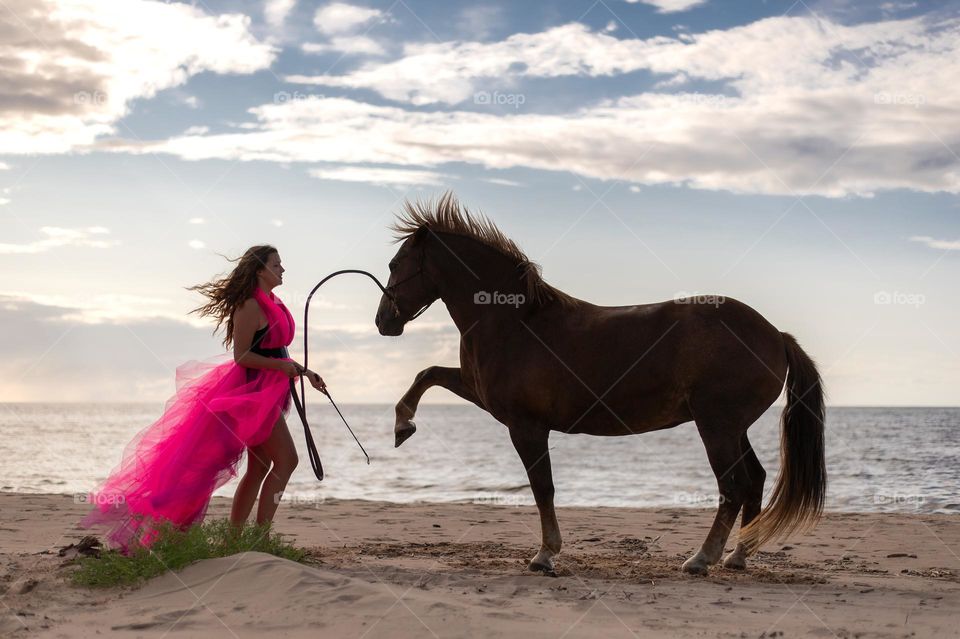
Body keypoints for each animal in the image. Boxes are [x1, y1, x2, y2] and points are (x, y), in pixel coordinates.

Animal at [374, 191, 826, 575]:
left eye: (396, 265)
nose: (383, 321)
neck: (516, 321)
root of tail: (776, 335)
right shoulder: (479, 391)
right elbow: (428, 374)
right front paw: (403, 425)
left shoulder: (526, 426)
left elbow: (543, 488)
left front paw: (545, 555)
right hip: (732, 427)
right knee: (755, 481)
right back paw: (738, 555)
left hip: (717, 426)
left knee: (733, 486)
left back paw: (702, 558)